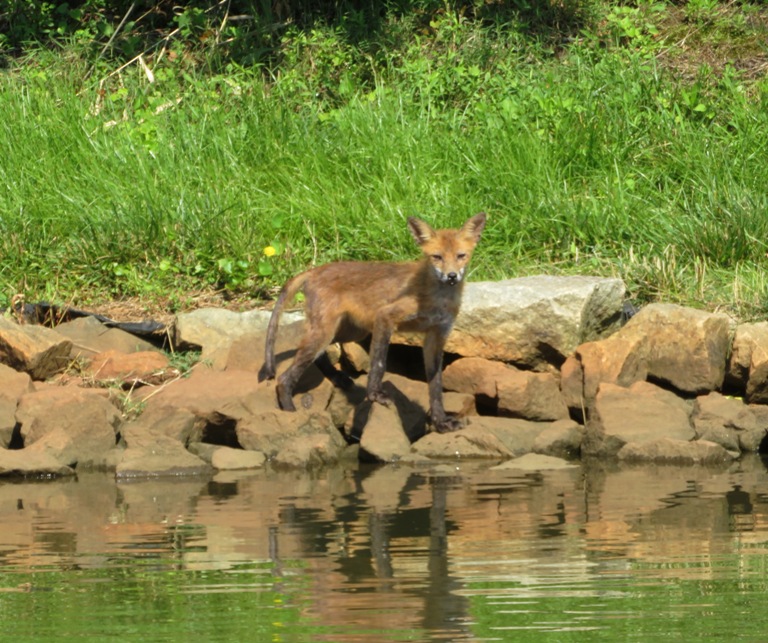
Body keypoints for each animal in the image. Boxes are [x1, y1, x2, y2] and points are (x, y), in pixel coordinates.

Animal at [258, 214, 486, 436]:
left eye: (461, 256)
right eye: (437, 257)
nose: (451, 276)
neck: (439, 298)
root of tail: (315, 270)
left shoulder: (436, 336)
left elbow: (436, 386)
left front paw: (441, 423)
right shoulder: (385, 317)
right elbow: (379, 363)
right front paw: (375, 395)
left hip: (351, 332)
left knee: (319, 355)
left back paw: (337, 378)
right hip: (327, 333)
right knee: (285, 377)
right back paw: (290, 412)